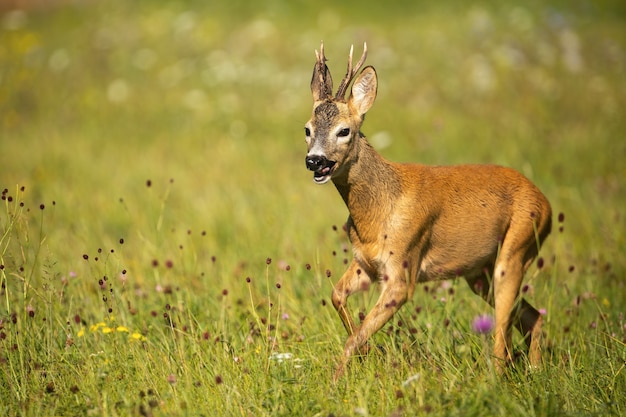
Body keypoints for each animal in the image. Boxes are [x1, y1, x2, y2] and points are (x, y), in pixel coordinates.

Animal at [304, 43, 552, 380]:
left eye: (345, 131)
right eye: (307, 129)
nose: (315, 160)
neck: (378, 210)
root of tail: (546, 203)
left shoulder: (402, 267)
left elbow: (354, 337)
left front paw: (336, 381)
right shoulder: (365, 262)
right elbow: (337, 297)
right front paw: (366, 355)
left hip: (517, 247)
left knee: (502, 337)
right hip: (479, 273)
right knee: (532, 315)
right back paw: (536, 370)